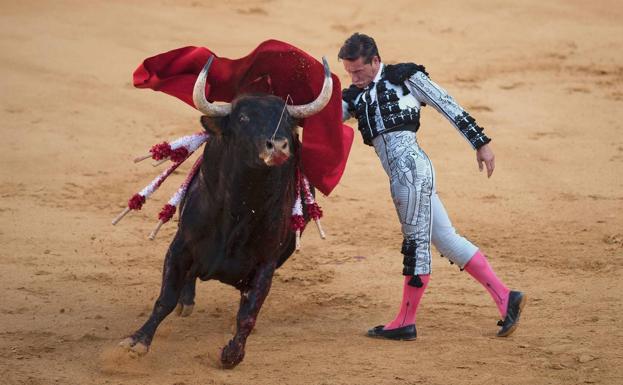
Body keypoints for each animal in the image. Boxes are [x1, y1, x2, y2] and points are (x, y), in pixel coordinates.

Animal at [117, 55, 332, 368]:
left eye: (288, 120)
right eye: (243, 119)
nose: (278, 146)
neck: (240, 206)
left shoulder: (266, 263)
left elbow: (248, 313)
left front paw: (233, 353)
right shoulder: (181, 245)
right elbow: (165, 298)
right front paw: (136, 342)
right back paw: (186, 302)